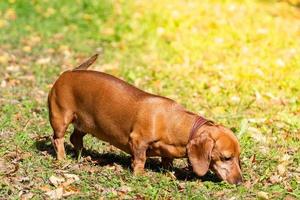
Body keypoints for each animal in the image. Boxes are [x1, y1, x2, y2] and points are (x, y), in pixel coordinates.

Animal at [48, 54, 243, 184]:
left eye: (238, 157)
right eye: (226, 158)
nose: (240, 182)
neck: (175, 123)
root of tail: (68, 72)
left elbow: (167, 162)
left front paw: (169, 174)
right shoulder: (138, 141)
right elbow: (140, 159)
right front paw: (139, 175)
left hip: (84, 125)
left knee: (75, 138)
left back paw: (83, 155)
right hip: (61, 118)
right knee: (57, 139)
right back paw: (63, 158)